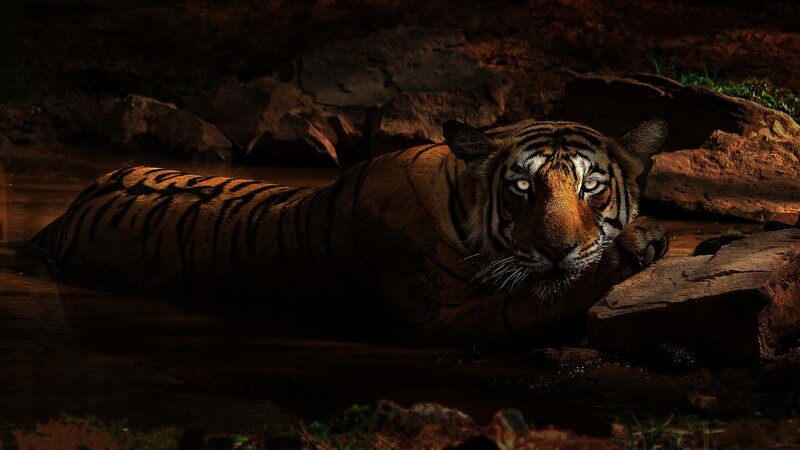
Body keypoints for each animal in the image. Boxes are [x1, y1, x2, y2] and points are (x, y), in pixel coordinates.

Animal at [30, 118, 669, 342]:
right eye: (521, 189)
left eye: (590, 188)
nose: (557, 249)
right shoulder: (433, 317)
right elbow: (538, 297)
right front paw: (637, 246)